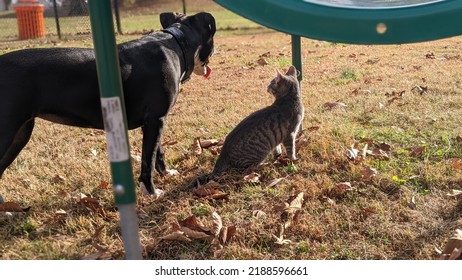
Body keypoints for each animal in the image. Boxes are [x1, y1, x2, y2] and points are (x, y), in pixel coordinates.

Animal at [0, 11, 217, 199]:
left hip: (20, 133)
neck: (177, 42)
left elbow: (158, 152)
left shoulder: (153, 122)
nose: (214, 52)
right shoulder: (156, 119)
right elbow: (148, 159)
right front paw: (151, 192)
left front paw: (166, 173)